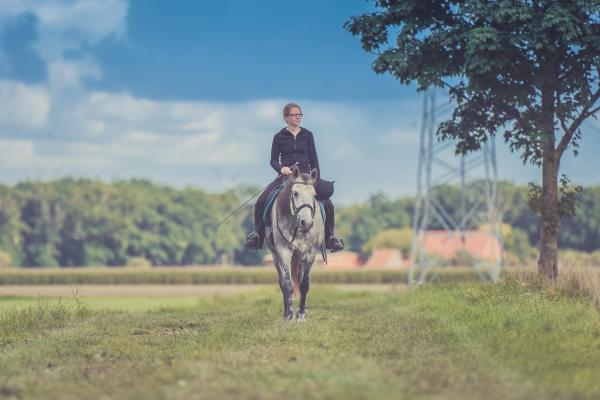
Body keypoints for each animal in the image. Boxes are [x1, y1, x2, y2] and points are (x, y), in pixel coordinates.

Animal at [266, 166, 326, 322]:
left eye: (314, 194)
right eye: (295, 193)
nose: (307, 223)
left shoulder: (310, 253)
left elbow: (303, 284)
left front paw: (301, 315)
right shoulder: (283, 251)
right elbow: (288, 283)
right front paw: (289, 315)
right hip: (276, 256)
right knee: (282, 281)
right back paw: (286, 312)